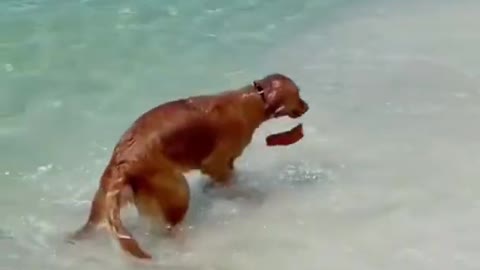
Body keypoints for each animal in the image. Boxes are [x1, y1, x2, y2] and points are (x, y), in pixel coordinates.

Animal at [69, 73, 310, 260]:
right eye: (298, 93)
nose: (307, 106)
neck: (254, 100)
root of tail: (123, 159)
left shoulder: (226, 165)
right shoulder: (216, 164)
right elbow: (232, 183)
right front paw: (250, 195)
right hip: (178, 189)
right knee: (172, 225)